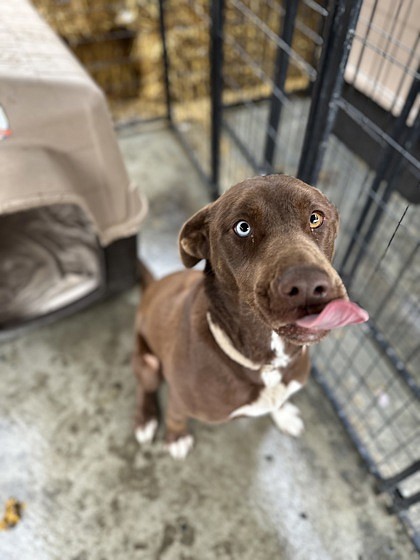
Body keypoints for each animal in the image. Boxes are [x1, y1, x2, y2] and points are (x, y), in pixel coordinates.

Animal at [132, 175, 368, 460]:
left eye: (315, 218)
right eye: (243, 227)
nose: (308, 286)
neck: (266, 363)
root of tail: (152, 287)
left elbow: (279, 401)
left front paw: (283, 414)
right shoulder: (179, 398)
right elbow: (175, 415)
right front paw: (176, 436)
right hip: (148, 362)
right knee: (145, 386)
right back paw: (145, 419)